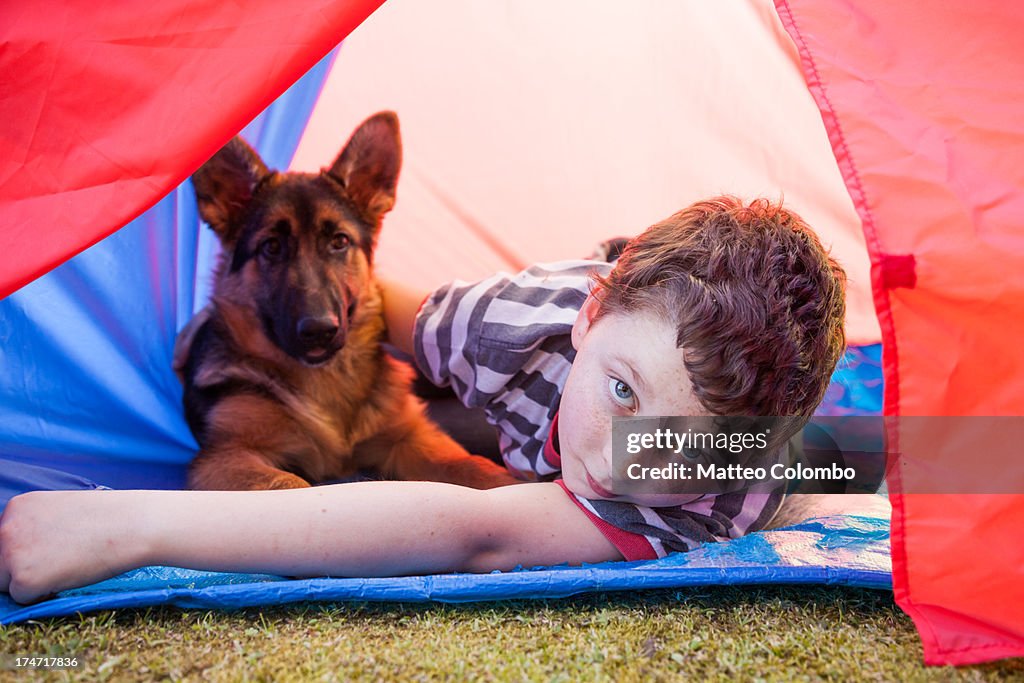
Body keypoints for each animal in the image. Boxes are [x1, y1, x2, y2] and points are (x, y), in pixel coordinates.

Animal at [174, 112, 520, 491]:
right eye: (272, 247)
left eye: (339, 241)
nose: (319, 330)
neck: (325, 381)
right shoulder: (227, 456)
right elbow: (290, 484)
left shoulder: (410, 437)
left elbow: (471, 466)